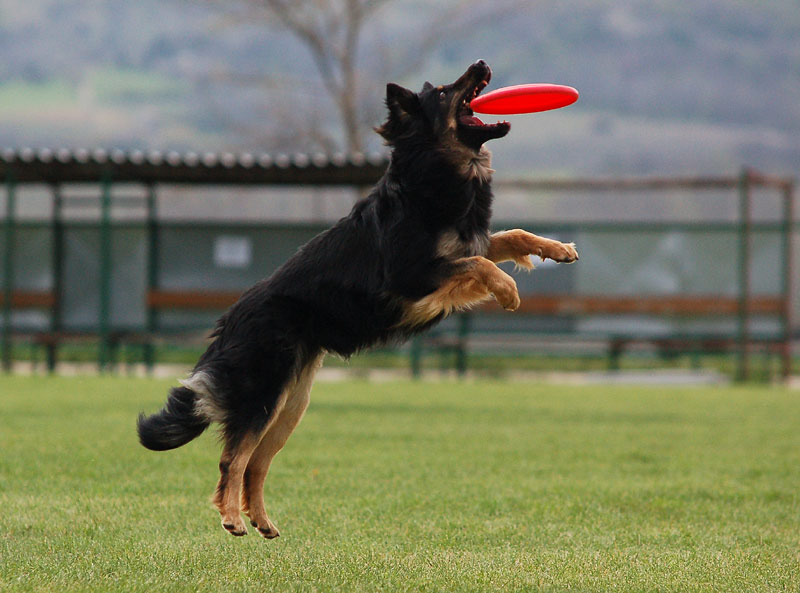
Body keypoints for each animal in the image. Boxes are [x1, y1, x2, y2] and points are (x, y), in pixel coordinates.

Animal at [136, 60, 576, 536]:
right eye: (444, 92)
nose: (481, 64)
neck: (432, 173)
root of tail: (230, 320)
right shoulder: (412, 275)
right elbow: (480, 263)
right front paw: (508, 289)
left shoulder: (461, 248)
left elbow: (510, 237)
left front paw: (557, 249)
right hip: (264, 395)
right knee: (232, 458)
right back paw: (233, 517)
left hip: (290, 405)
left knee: (256, 463)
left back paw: (262, 520)